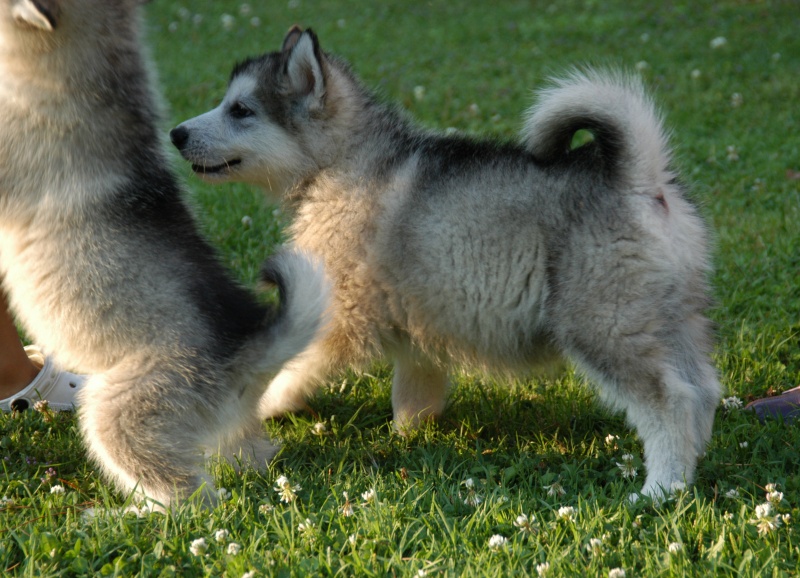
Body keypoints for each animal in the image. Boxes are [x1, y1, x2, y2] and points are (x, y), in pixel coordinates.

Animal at [172, 28, 720, 496]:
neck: (341, 162)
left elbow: (290, 369)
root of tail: (641, 178)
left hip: (601, 324)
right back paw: (693, 463)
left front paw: (261, 404)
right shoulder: (419, 324)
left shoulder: (340, 316)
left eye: (241, 110)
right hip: (671, 318)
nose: (176, 133)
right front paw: (409, 436)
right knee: (703, 389)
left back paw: (662, 487)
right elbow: (413, 393)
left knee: (671, 400)